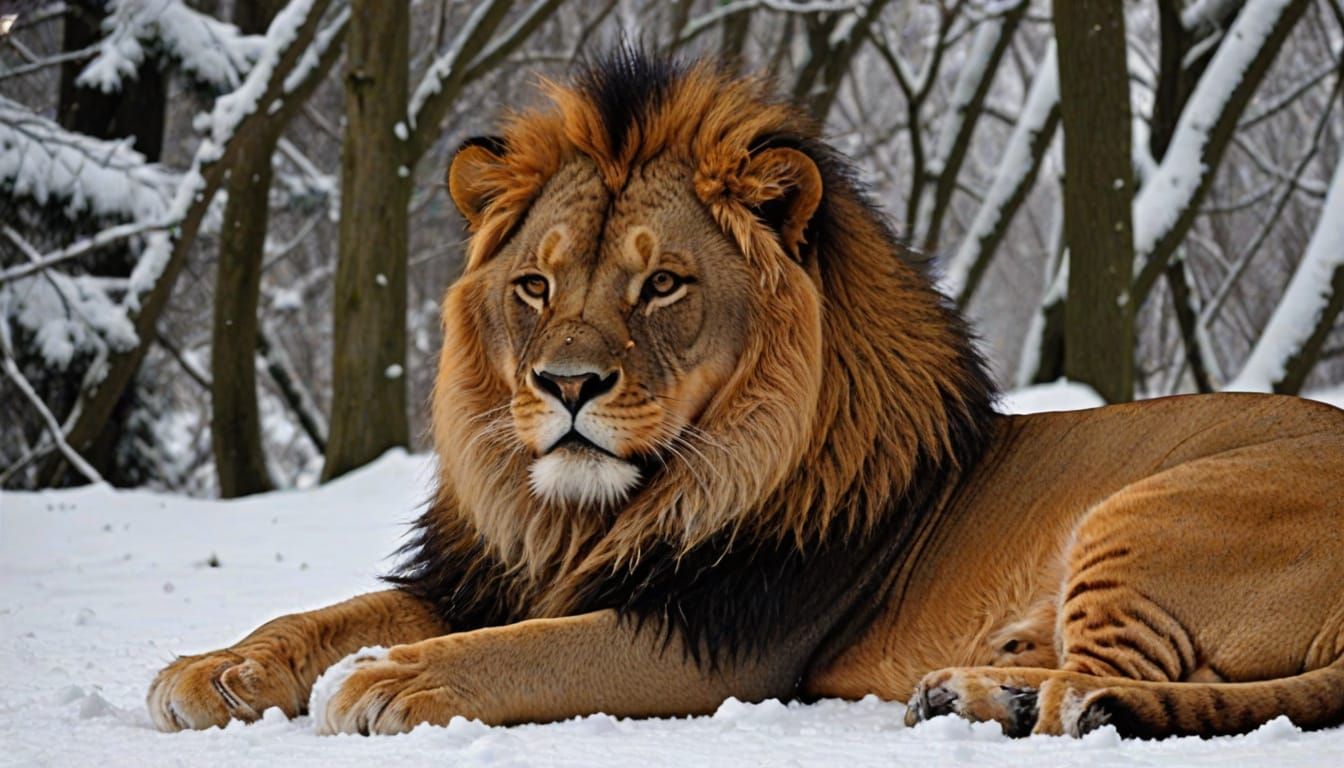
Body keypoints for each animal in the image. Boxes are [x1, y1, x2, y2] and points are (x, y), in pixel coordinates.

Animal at [148, 51, 1344, 740]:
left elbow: (524, 652)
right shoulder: (497, 576)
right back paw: (974, 692)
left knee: (1103, 690)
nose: (565, 385)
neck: (592, 512)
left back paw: (1019, 699)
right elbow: (330, 613)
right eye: (535, 285)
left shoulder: (720, 638)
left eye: (663, 284)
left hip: (1146, 512)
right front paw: (217, 669)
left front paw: (389, 680)